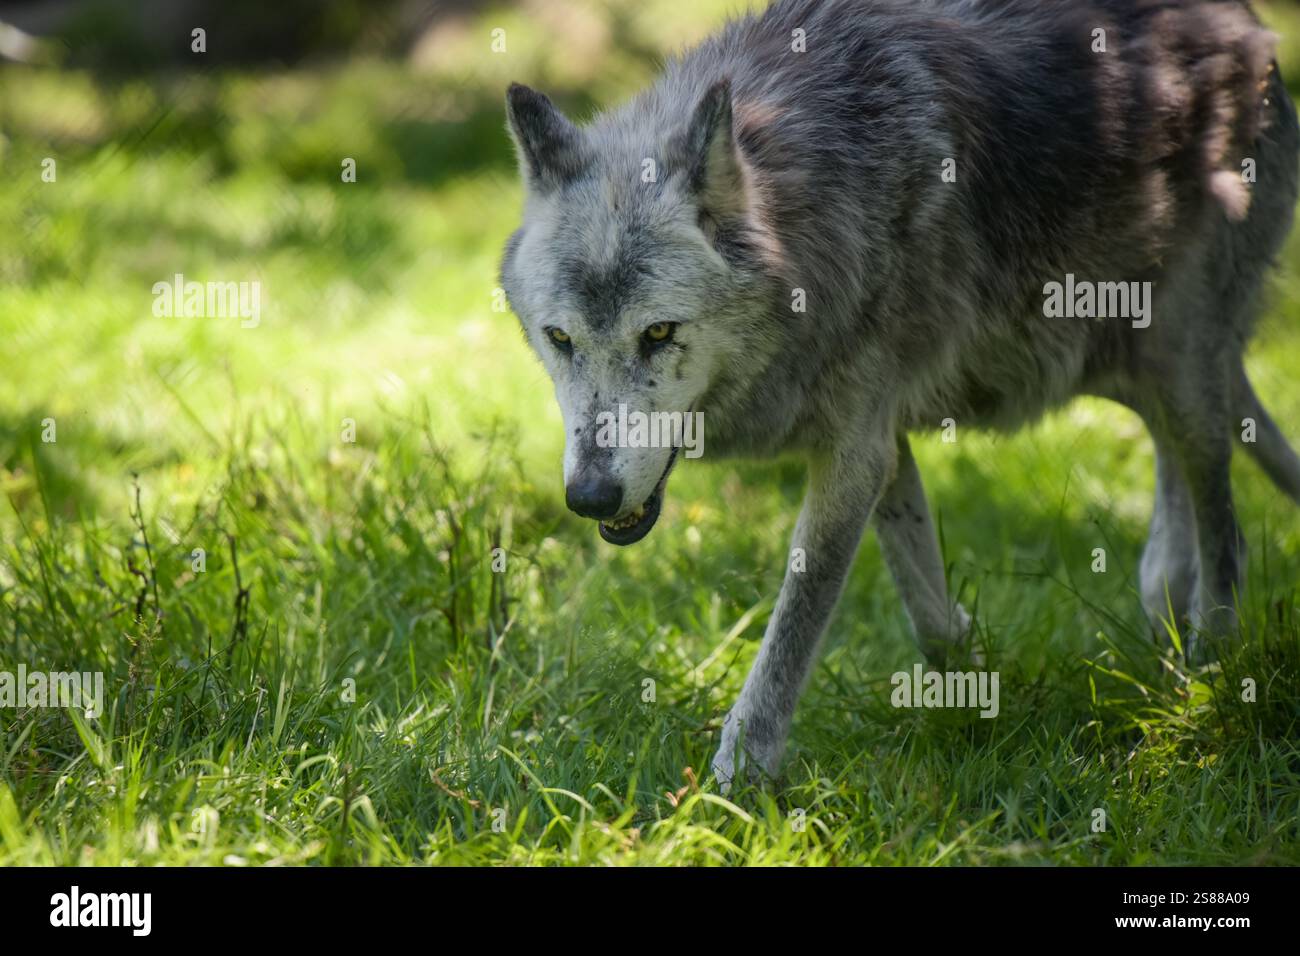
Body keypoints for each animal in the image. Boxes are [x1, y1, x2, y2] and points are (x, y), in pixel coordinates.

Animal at [499, 0, 1300, 787]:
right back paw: (1165, 627)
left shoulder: (855, 453)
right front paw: (974, 688)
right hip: (1120, 369)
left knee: (1224, 528)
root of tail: (1248, 27)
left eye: (660, 333)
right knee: (1176, 509)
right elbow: (929, 616)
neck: (815, 201)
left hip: (1181, 374)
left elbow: (795, 627)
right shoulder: (879, 446)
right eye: (559, 339)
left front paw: (739, 781)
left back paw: (1208, 678)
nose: (590, 497)